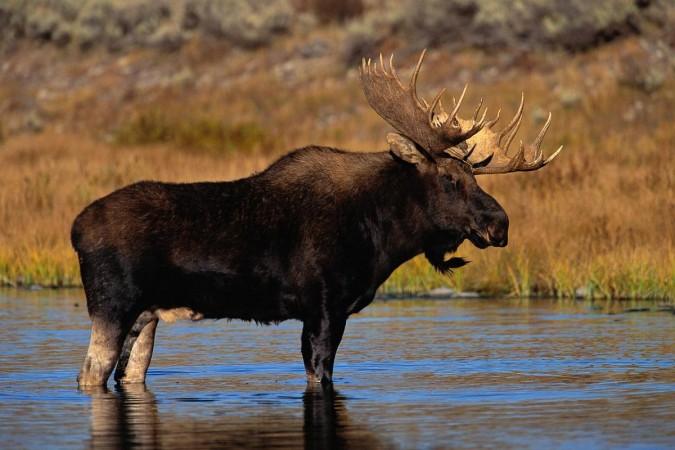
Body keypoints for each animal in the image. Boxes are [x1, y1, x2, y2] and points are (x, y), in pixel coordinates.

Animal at [74, 50, 562, 387]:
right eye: (449, 178)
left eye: (473, 175)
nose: (500, 224)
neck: (382, 236)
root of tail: (75, 228)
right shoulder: (325, 306)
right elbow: (320, 373)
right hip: (113, 305)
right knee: (90, 373)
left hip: (147, 316)